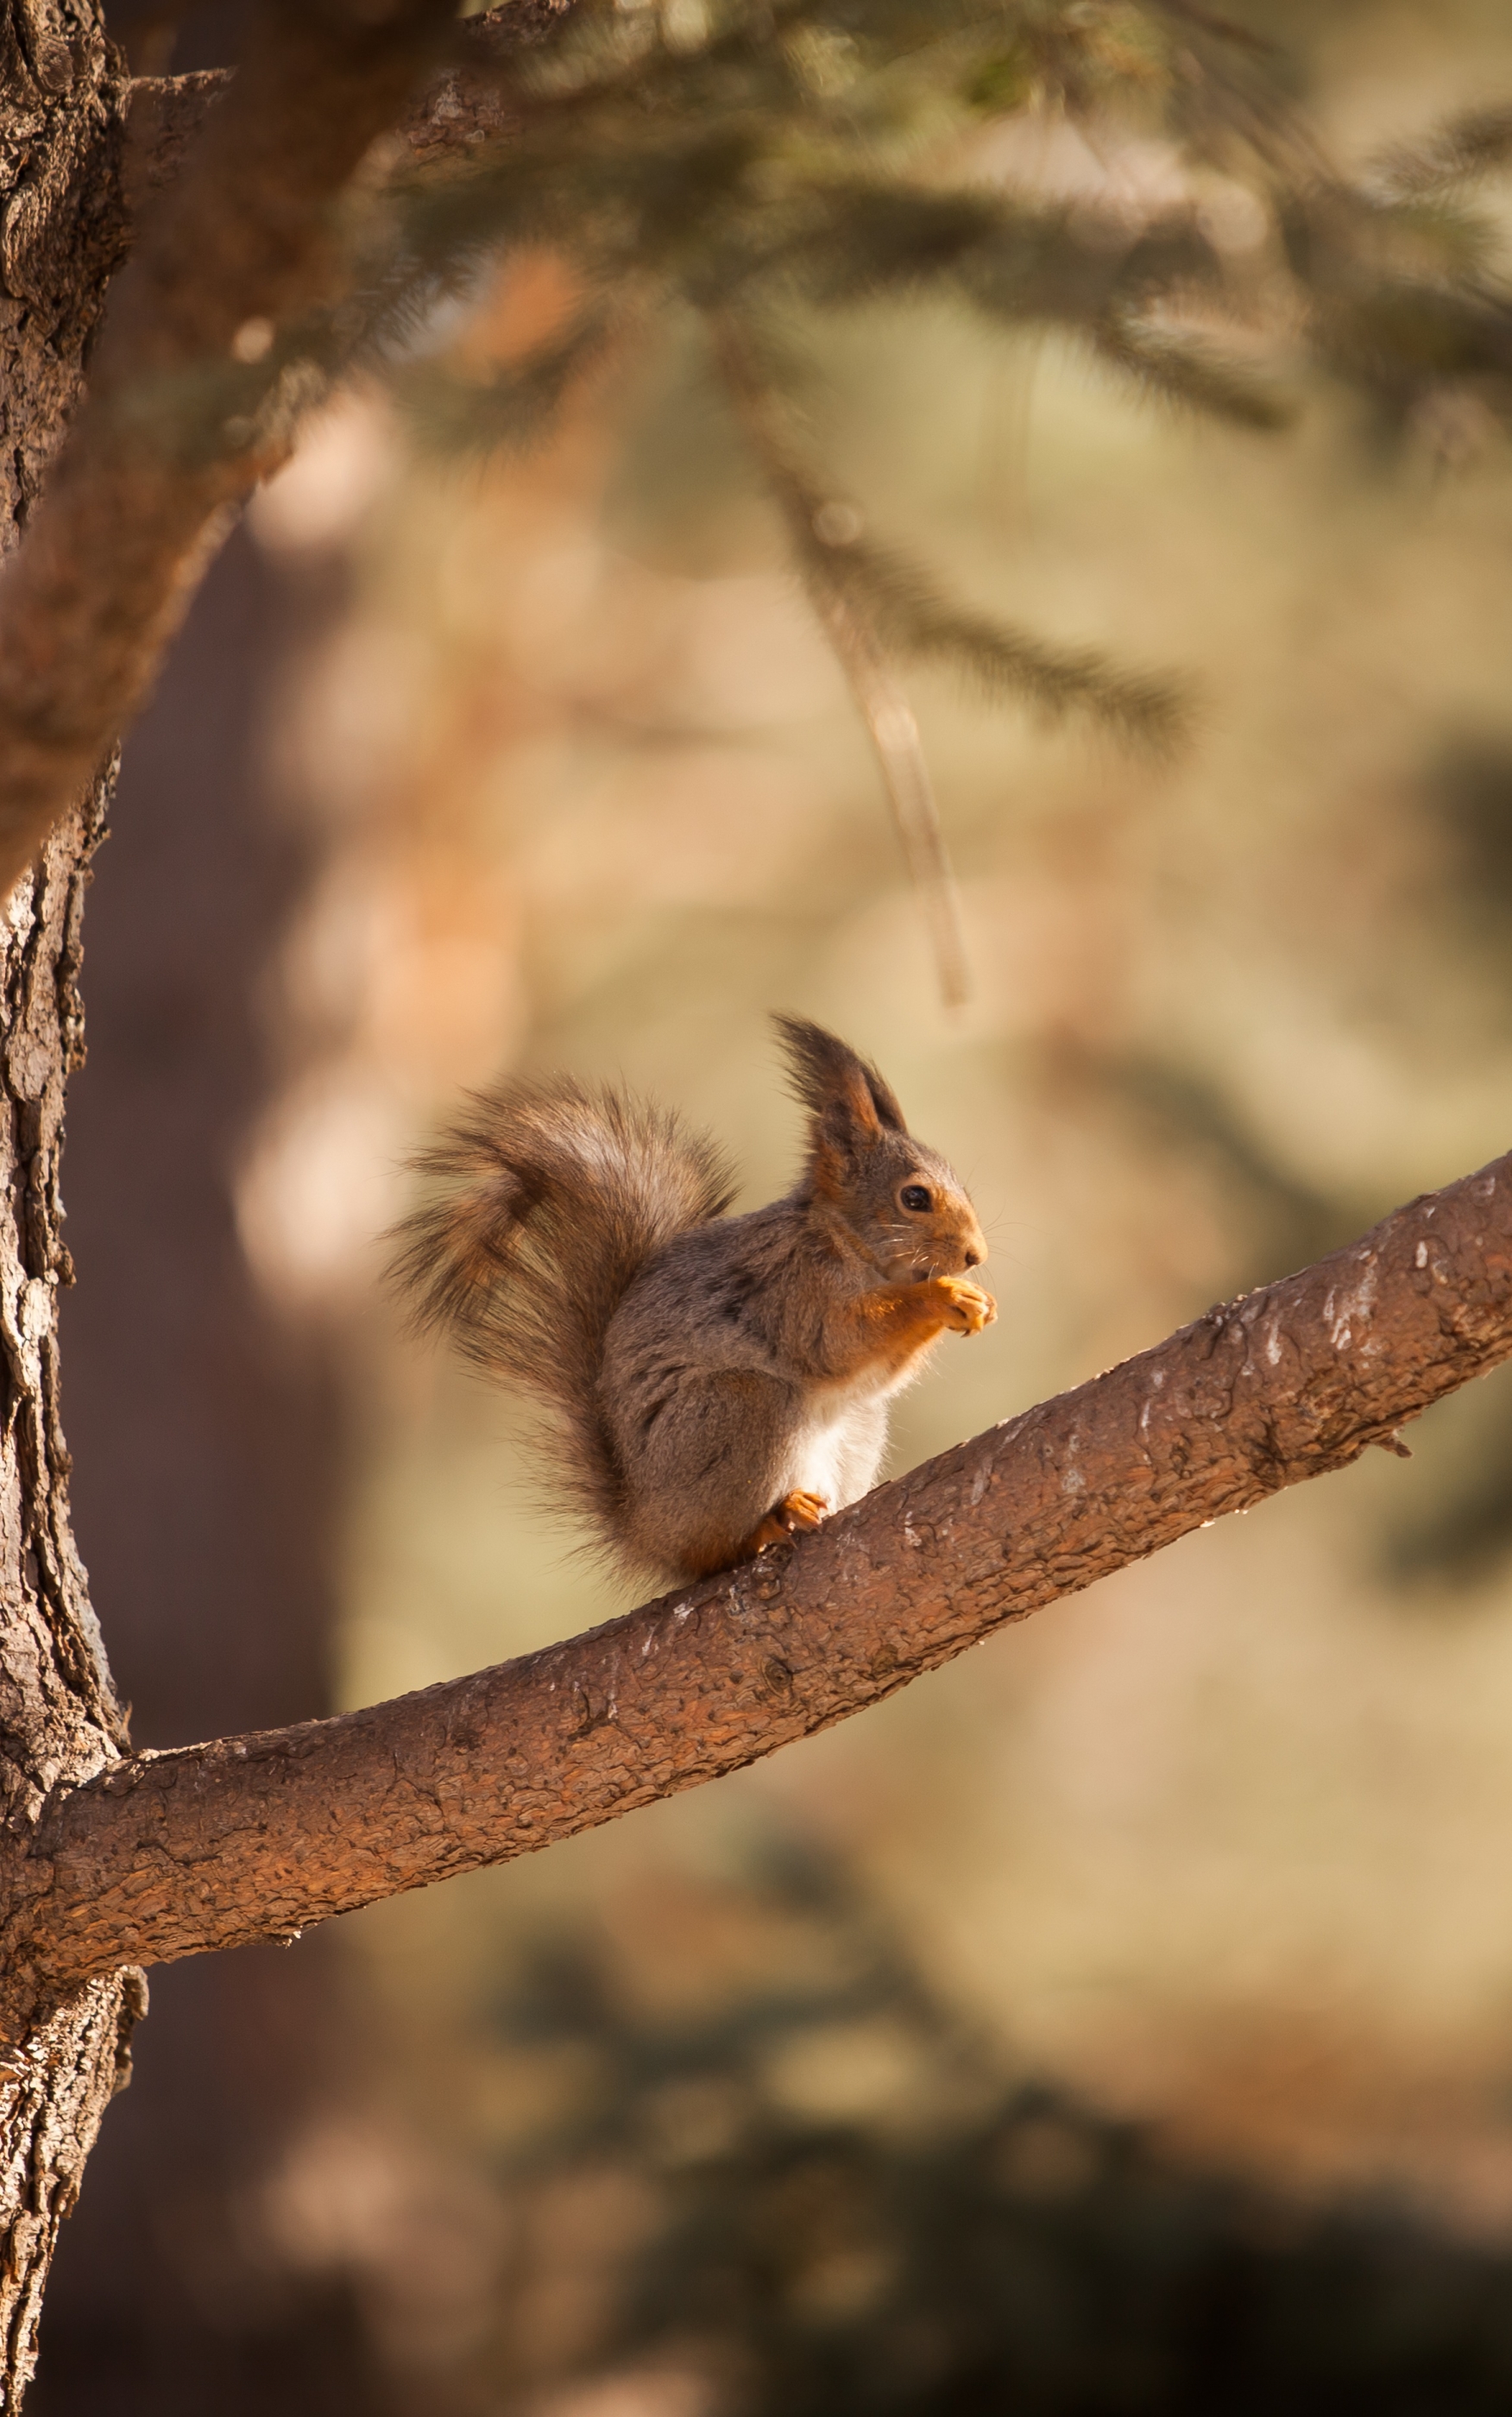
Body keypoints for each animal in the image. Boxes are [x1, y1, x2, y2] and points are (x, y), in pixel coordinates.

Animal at [394, 1015, 995, 1585]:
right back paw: (765, 1525)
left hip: (857, 1428)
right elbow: (838, 1343)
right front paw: (943, 1295)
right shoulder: (793, 1288)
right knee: (707, 1553)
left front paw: (977, 1302)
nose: (976, 1255)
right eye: (914, 1197)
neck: (845, 1241)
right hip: (738, 1411)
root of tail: (645, 1529)